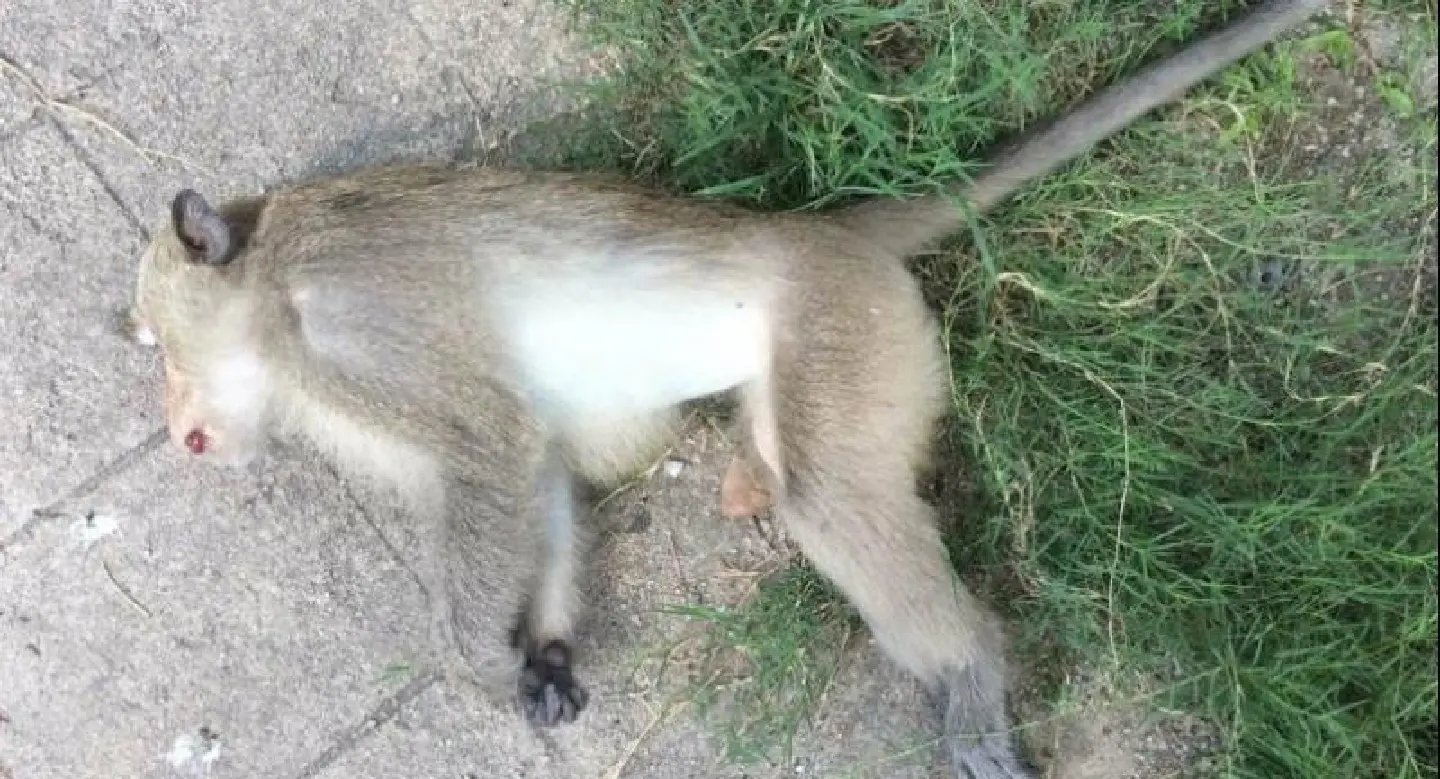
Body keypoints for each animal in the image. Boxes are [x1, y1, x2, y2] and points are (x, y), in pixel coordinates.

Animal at [123, 1, 1326, 776]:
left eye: (164, 347)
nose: (173, 417)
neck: (272, 301)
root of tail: (821, 234)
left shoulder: (361, 322)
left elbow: (490, 452)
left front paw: (473, 658)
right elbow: (537, 467)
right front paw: (543, 651)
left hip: (845, 330)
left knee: (829, 493)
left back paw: (970, 674)